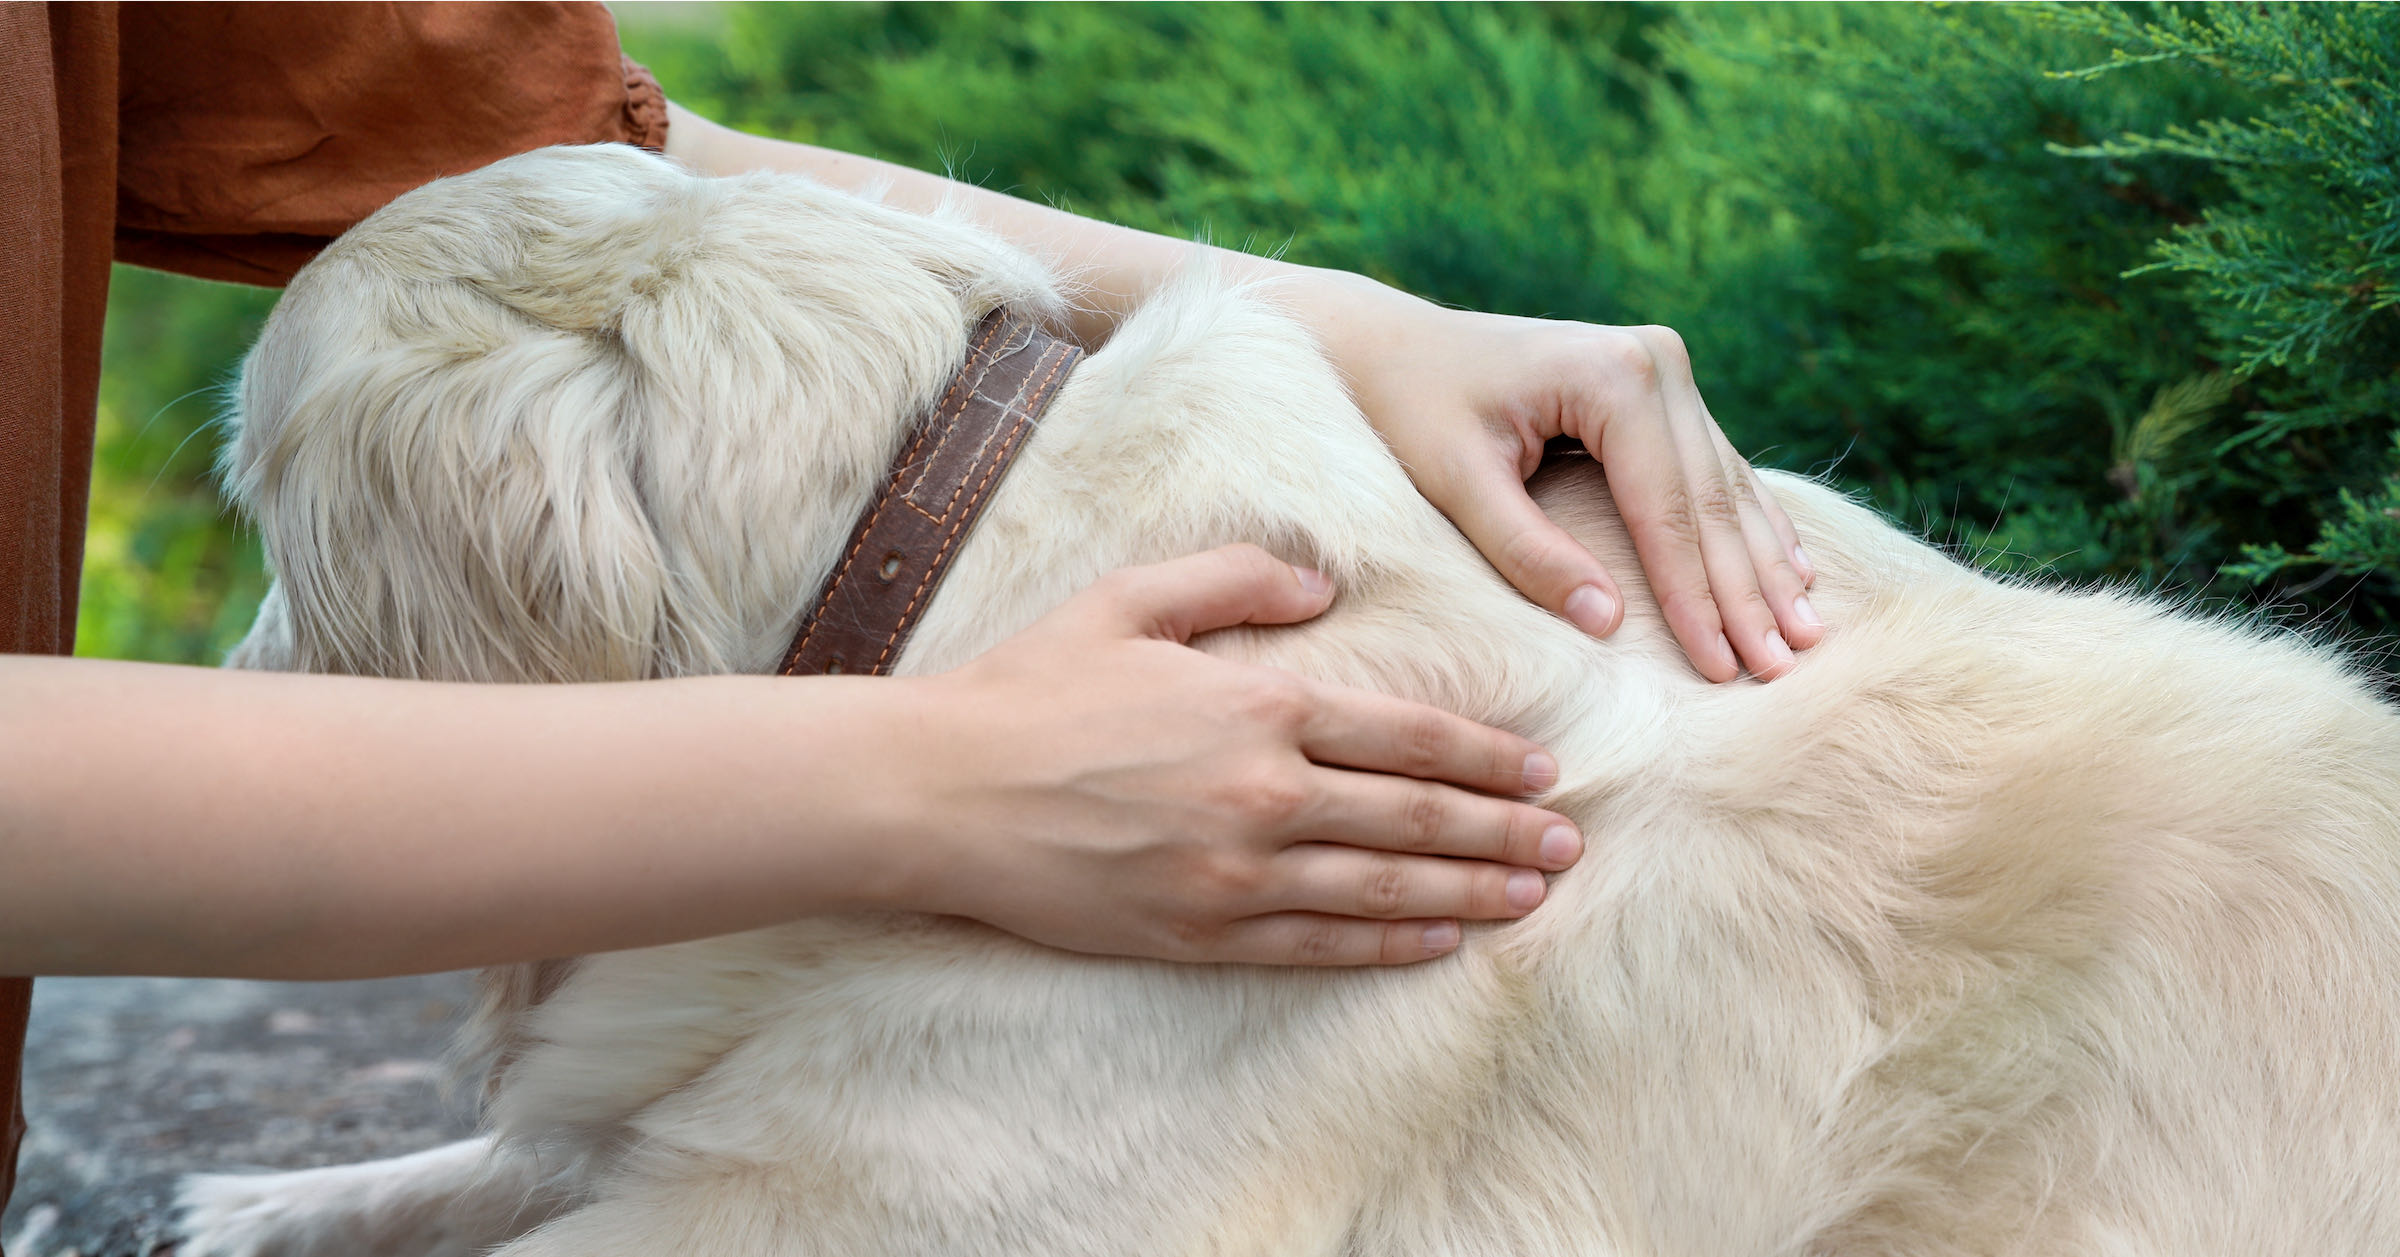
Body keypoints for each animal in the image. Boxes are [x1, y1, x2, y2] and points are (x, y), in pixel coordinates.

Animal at [174, 147, 2400, 1257]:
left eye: (261, 515)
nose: (213, 700)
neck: (949, 581)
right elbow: (513, 1158)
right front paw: (280, 1196)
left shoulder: (866, 1213)